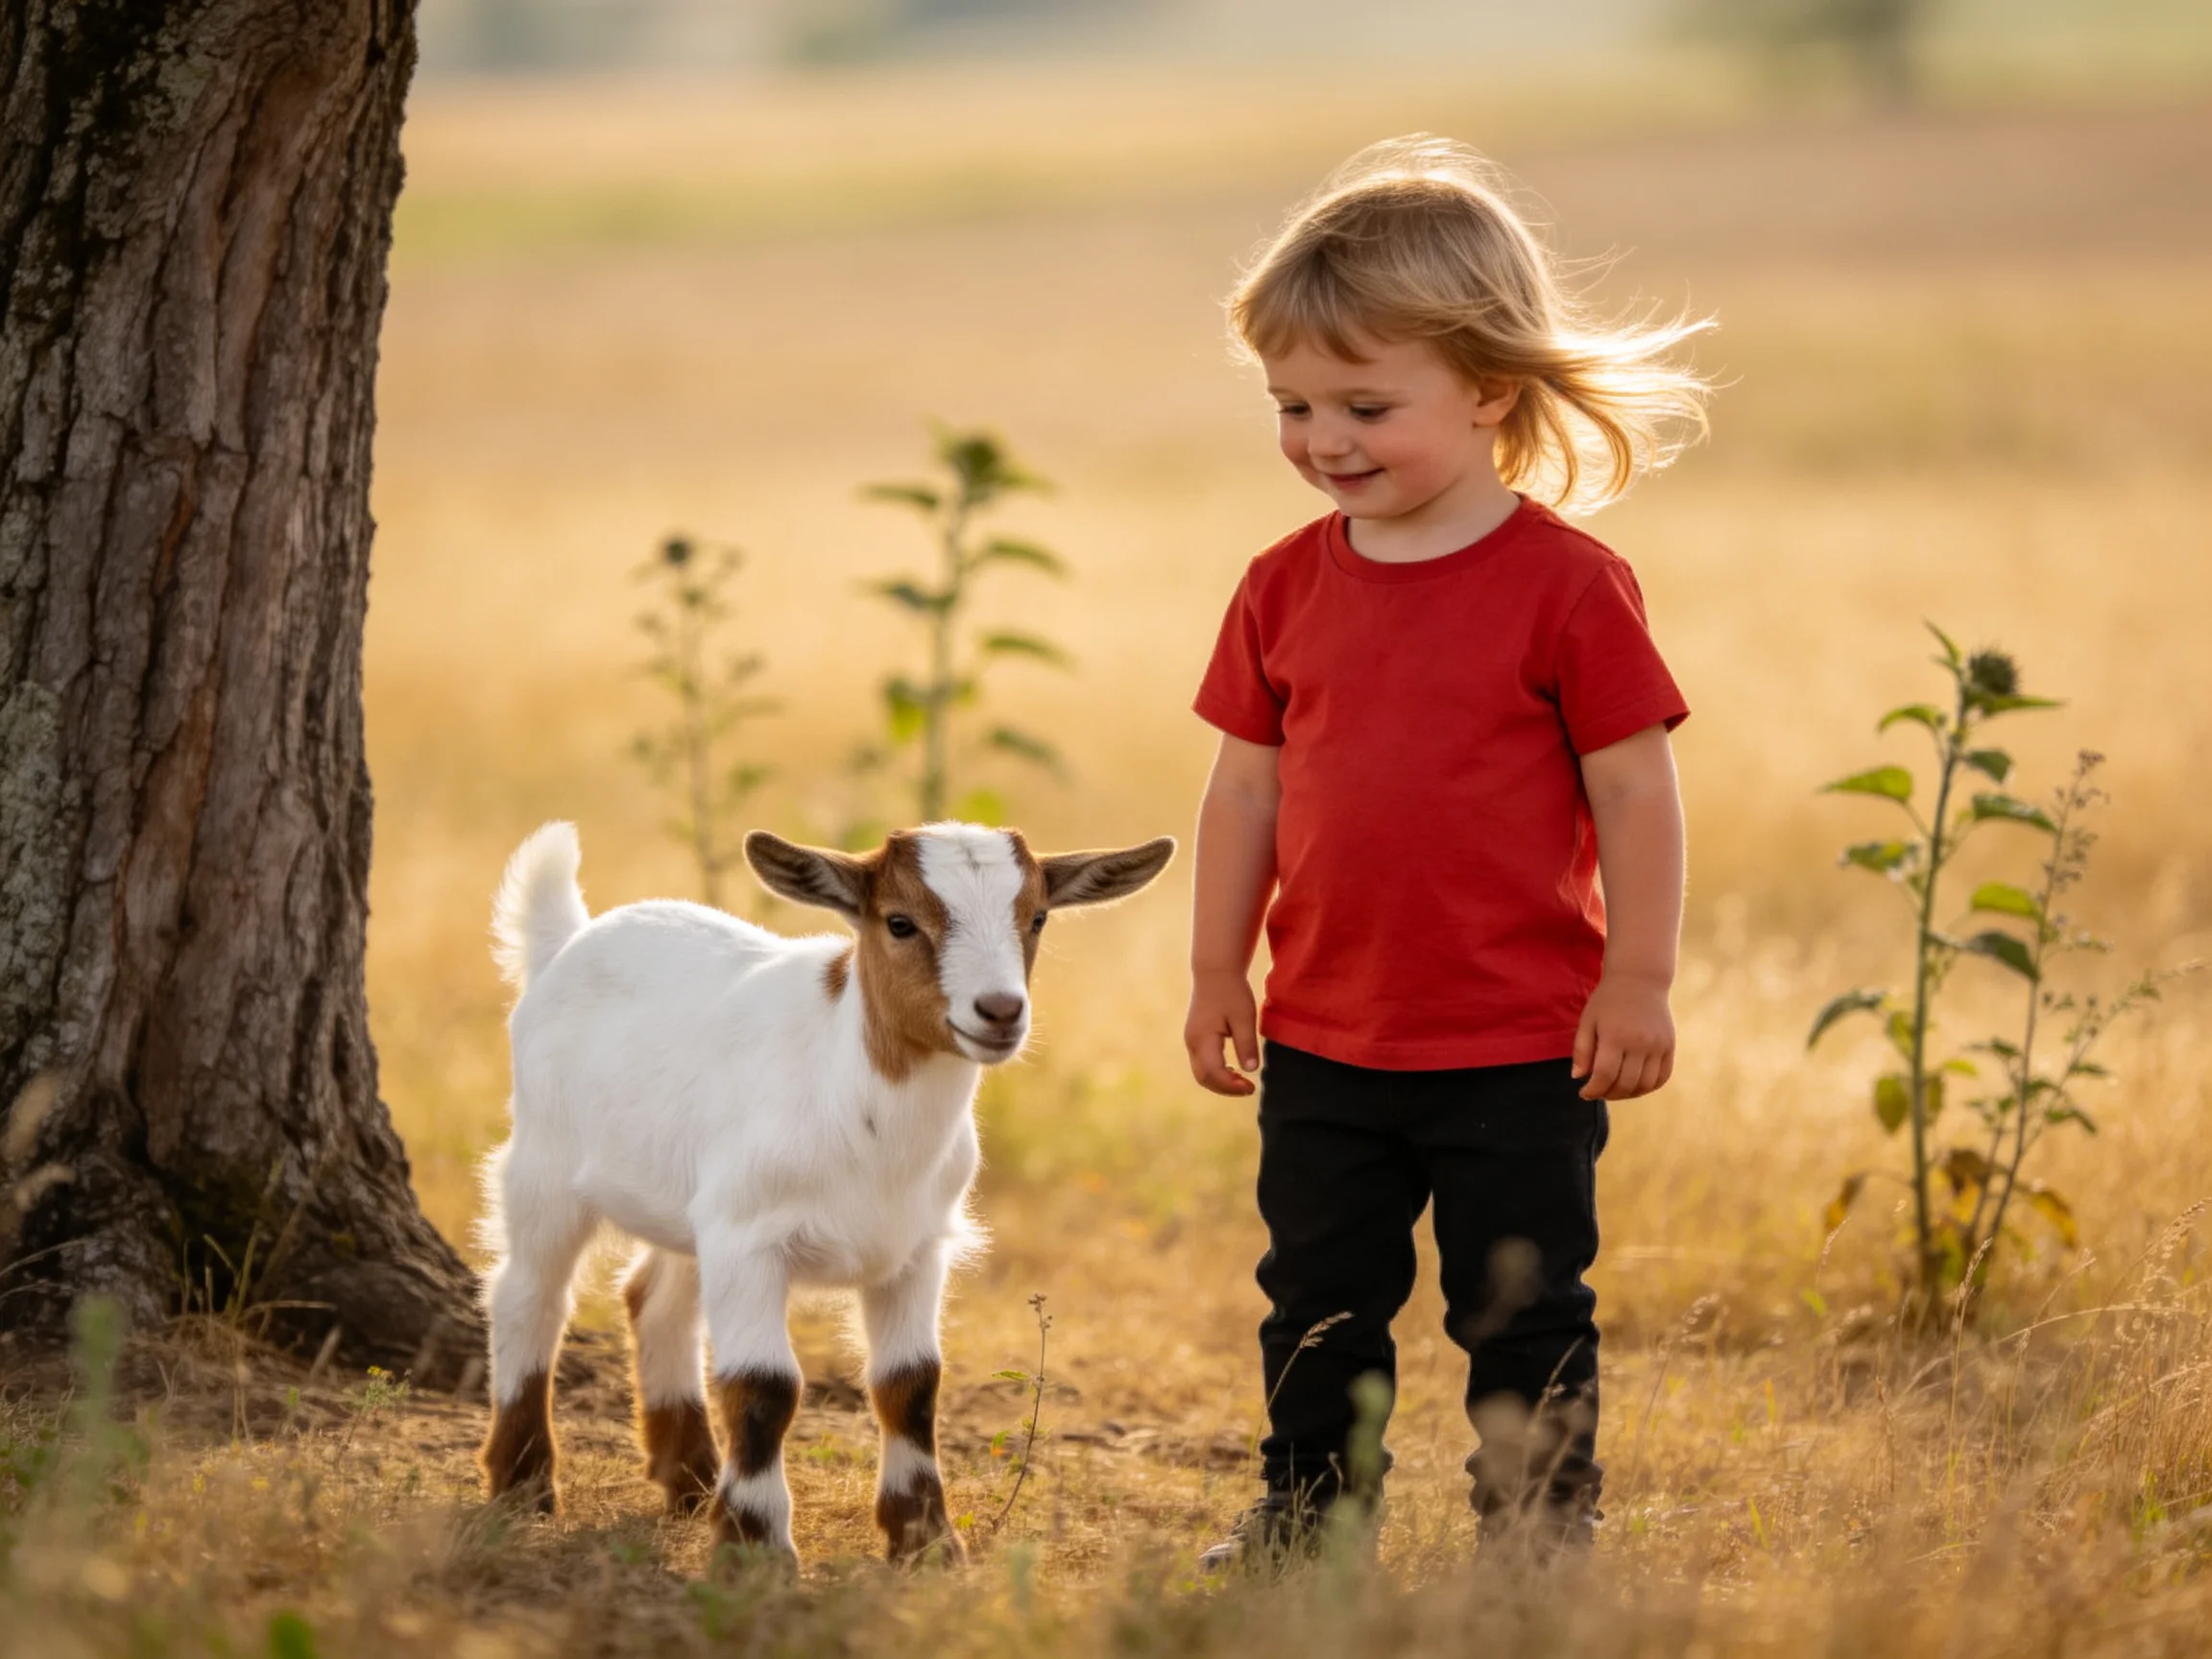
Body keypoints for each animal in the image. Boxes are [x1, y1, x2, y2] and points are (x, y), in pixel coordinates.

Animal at [476, 819, 1175, 1567]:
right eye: (899, 922)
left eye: (1037, 917)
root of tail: (567, 942)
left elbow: (911, 1383)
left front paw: (926, 1542)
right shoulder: (749, 1242)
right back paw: (525, 1486)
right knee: (530, 1293)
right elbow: (764, 1386)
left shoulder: (914, 1249)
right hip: (546, 1161)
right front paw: (756, 1548)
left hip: (689, 1205)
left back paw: (690, 1482)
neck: (858, 1101)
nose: (1000, 1011)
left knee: (655, 1300)